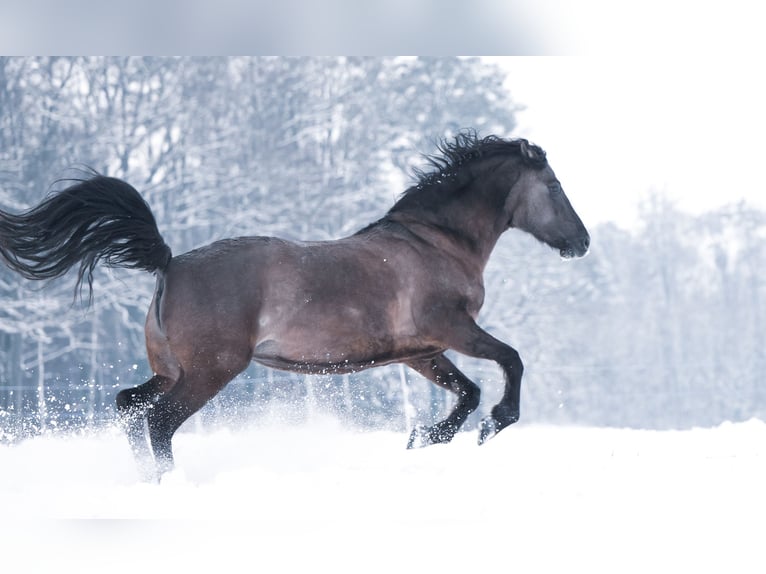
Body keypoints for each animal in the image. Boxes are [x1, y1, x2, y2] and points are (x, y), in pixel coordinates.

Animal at [0, 132, 589, 480]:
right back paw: (170, 481)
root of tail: (168, 264)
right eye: (555, 186)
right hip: (211, 371)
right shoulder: (452, 327)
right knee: (159, 421)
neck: (436, 242)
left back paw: (146, 478)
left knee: (128, 405)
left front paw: (422, 438)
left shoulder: (420, 351)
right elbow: (509, 362)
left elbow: (467, 393)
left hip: (173, 369)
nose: (581, 243)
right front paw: (494, 425)